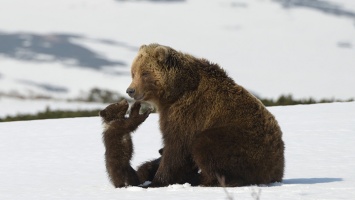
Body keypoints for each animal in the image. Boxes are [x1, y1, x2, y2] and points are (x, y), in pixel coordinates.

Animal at [126, 43, 286, 188]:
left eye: (145, 73)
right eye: (133, 72)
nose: (130, 90)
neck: (174, 92)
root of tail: (278, 168)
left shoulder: (189, 112)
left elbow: (177, 146)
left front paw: (156, 181)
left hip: (243, 142)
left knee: (205, 145)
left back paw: (207, 180)